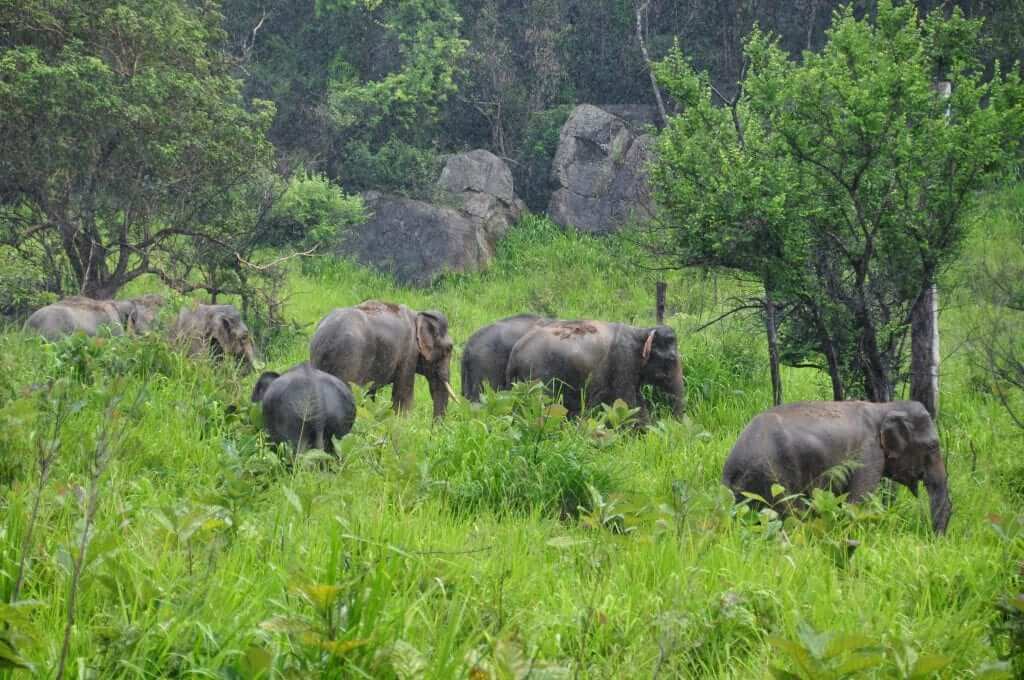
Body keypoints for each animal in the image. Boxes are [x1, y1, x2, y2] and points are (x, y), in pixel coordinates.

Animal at [309, 301, 455, 417]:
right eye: (449, 348)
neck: (418, 314)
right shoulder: (408, 353)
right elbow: (403, 396)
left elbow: (370, 395)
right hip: (348, 360)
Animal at [506, 320, 685, 419]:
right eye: (671, 358)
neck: (641, 331)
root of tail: (515, 353)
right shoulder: (623, 361)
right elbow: (627, 401)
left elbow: (636, 401)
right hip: (538, 378)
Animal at [721, 400, 952, 534]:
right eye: (932, 446)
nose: (934, 540)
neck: (885, 406)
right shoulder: (868, 454)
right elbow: (858, 502)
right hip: (774, 478)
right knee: (790, 514)